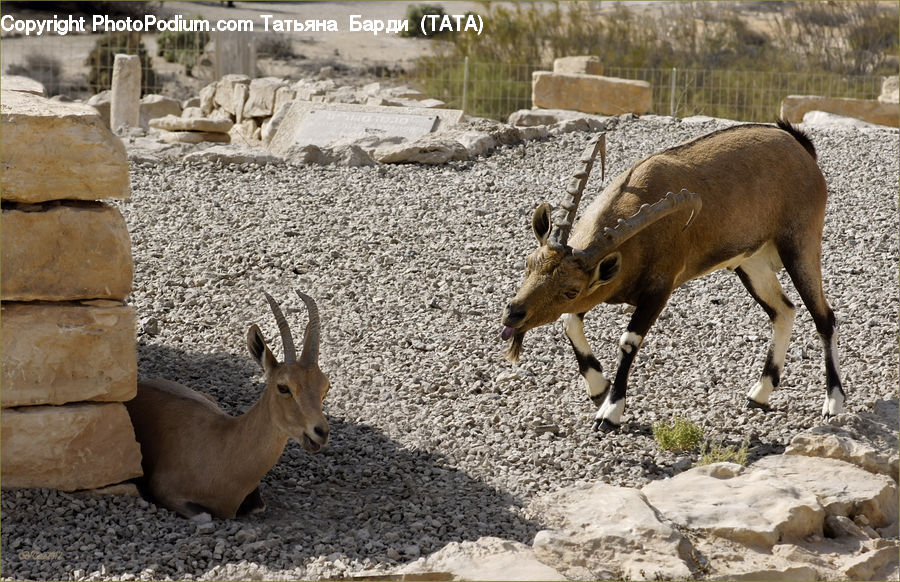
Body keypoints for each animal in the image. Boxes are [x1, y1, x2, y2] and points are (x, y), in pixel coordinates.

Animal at [125, 290, 330, 519]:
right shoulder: (165, 490)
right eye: (283, 387)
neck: (225, 451)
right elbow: (204, 516)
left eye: (326, 386)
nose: (321, 432)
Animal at [501, 119, 845, 432]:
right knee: (784, 310)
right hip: (751, 262)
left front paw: (609, 412)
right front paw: (598, 388)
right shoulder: (601, 287)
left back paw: (833, 403)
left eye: (571, 290)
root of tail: (801, 149)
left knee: (823, 316)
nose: (513, 314)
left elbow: (628, 341)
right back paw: (759, 394)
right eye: (529, 263)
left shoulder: (659, 289)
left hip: (800, 244)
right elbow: (569, 321)